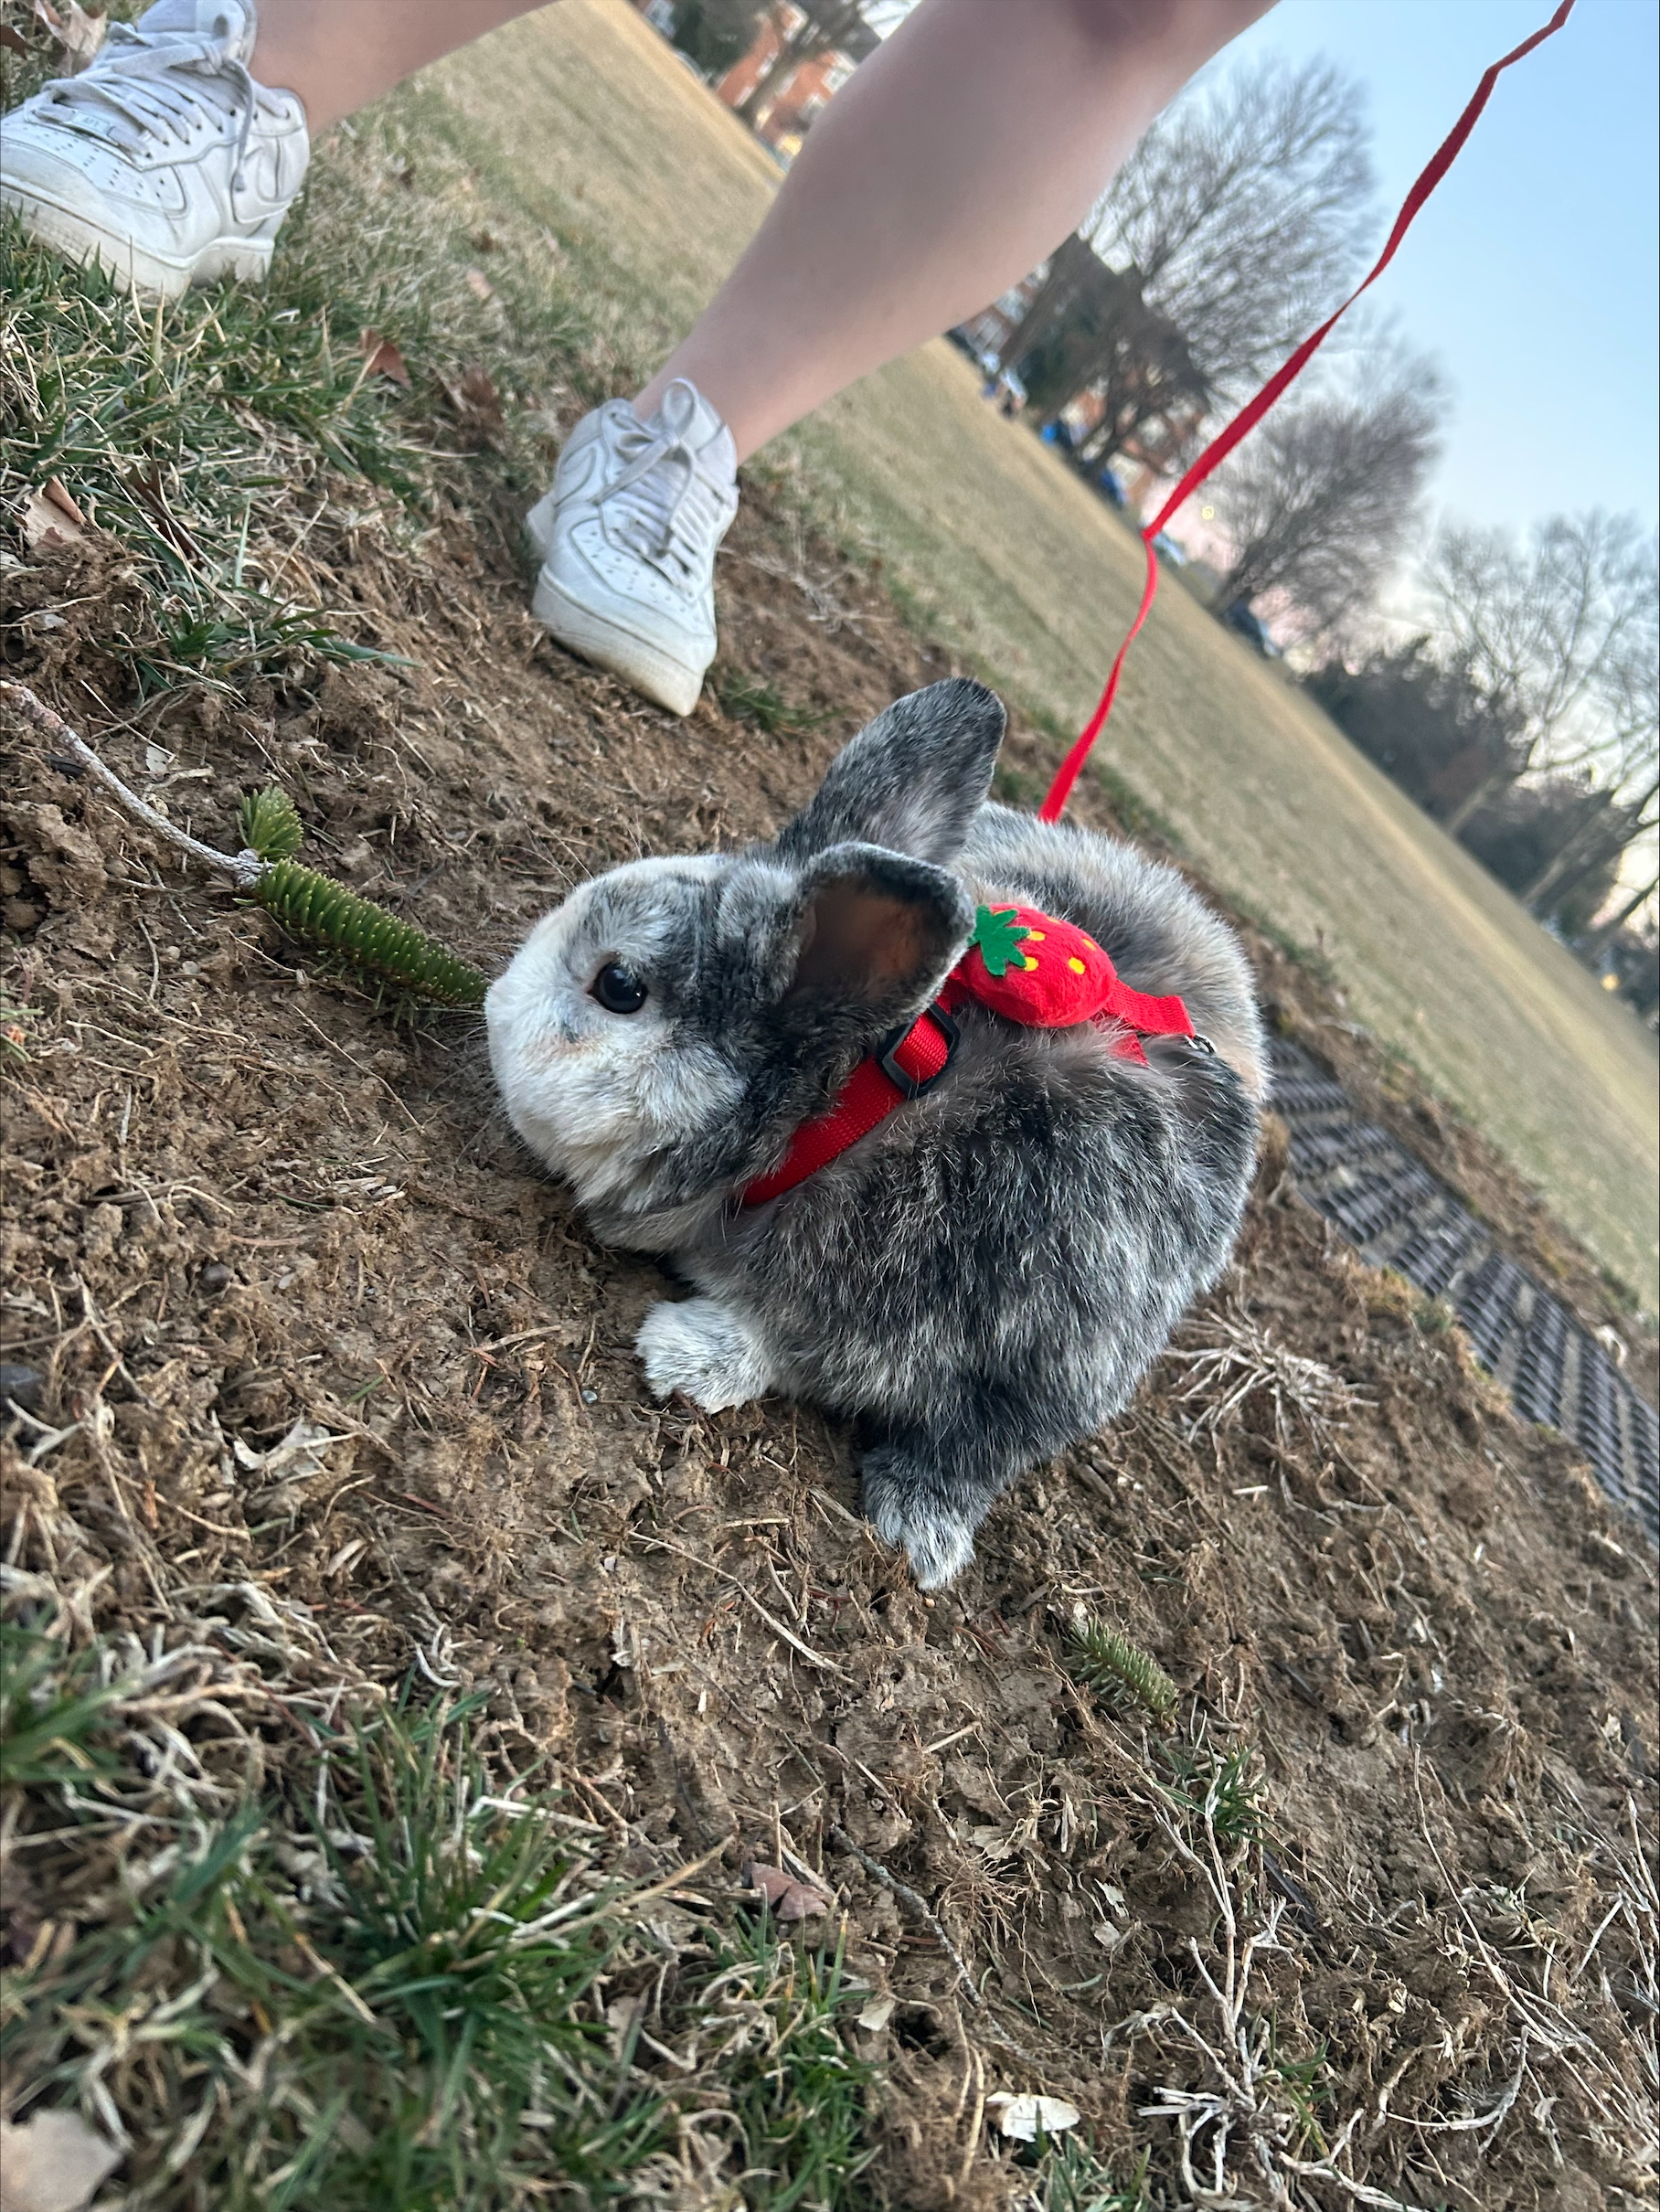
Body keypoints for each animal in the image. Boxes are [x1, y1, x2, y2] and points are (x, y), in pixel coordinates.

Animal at [487, 678, 1265, 1587]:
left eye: (619, 986)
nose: (492, 1007)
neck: (845, 1115)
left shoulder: (1062, 1365)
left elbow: (965, 1445)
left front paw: (918, 1532)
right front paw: (698, 1353)